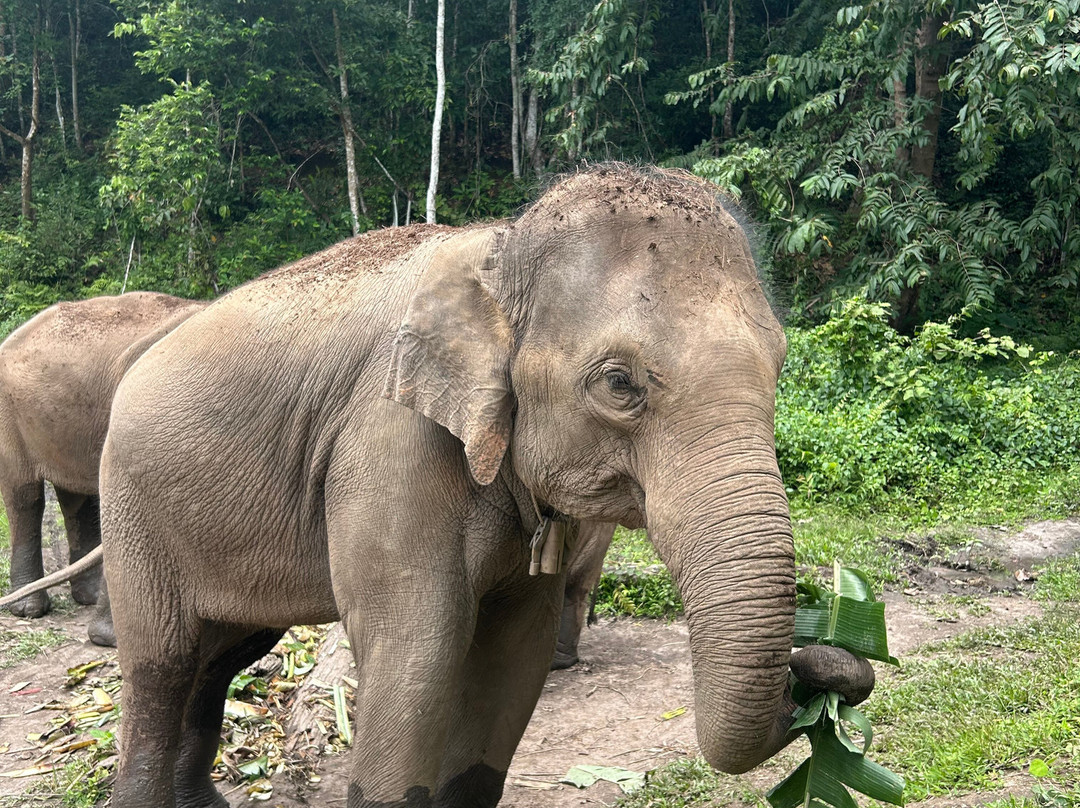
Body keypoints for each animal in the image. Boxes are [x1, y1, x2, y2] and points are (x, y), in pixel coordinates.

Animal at [95, 164, 873, 808]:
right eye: (619, 384)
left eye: (780, 364)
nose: (824, 664)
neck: (500, 249)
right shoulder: (388, 439)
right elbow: (419, 651)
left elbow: (512, 655)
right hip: (130, 505)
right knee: (163, 662)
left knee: (226, 654)